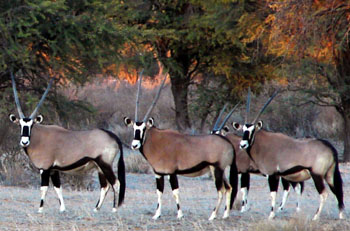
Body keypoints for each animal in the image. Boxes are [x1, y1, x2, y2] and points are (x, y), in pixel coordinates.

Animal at [8, 72, 126, 213]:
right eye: (20, 125)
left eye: (31, 125)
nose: (25, 141)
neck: (39, 136)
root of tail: (113, 136)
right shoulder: (54, 170)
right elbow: (58, 188)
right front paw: (62, 209)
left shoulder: (45, 169)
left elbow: (44, 188)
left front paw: (40, 209)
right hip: (99, 167)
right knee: (105, 186)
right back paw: (96, 209)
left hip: (105, 164)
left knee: (116, 183)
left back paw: (114, 209)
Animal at [123, 71, 238, 220]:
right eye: (133, 129)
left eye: (143, 129)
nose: (135, 145)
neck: (156, 142)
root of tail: (227, 142)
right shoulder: (158, 174)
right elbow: (159, 192)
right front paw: (156, 214)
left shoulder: (171, 172)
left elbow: (175, 192)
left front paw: (179, 214)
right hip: (220, 170)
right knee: (229, 188)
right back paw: (225, 214)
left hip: (217, 169)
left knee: (221, 190)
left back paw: (212, 216)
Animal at [234, 89, 344, 220]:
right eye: (242, 130)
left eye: (253, 130)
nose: (243, 144)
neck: (262, 144)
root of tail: (330, 147)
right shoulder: (277, 175)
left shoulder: (272, 175)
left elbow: (272, 194)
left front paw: (271, 215)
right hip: (329, 175)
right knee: (337, 191)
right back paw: (341, 216)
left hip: (317, 175)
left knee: (324, 194)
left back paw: (315, 217)